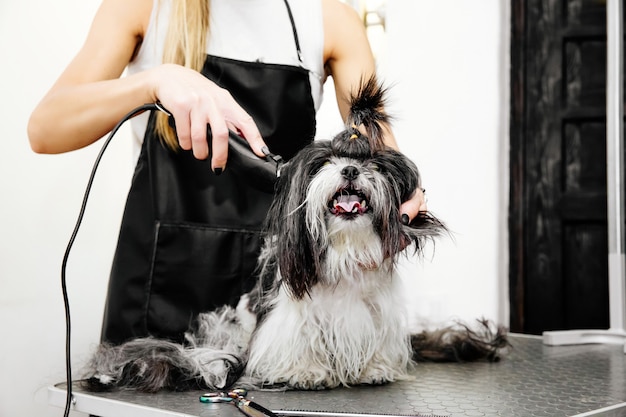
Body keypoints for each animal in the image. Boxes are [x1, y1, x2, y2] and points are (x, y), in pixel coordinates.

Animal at [85, 78, 508, 394]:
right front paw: (305, 372)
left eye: (372, 163)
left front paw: (374, 368)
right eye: (325, 163)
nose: (350, 170)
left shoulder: (376, 313)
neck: (344, 250)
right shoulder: (289, 319)